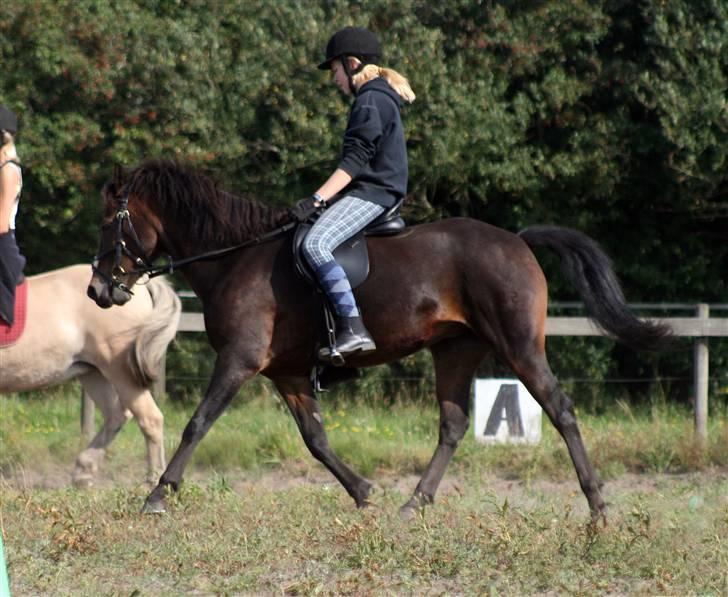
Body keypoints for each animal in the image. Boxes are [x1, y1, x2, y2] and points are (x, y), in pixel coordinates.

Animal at [0, 264, 180, 484]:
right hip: (93, 374)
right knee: (116, 416)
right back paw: (84, 470)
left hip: (119, 371)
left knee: (150, 419)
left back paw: (153, 480)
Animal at [86, 161, 672, 520]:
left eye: (110, 223)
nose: (97, 290)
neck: (235, 257)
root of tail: (518, 240)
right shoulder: (287, 372)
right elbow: (316, 440)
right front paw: (364, 493)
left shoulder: (240, 359)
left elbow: (198, 422)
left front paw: (157, 495)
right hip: (455, 351)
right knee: (453, 424)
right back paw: (415, 503)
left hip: (520, 346)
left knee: (560, 409)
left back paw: (597, 509)